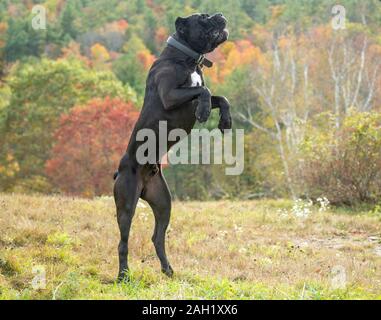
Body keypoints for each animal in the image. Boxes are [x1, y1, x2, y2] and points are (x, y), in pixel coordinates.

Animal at [113, 13, 232, 282]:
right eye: (204, 18)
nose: (220, 15)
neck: (187, 59)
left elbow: (220, 97)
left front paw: (225, 120)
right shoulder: (171, 95)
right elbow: (203, 90)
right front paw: (204, 111)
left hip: (163, 203)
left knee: (157, 237)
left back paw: (167, 270)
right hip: (126, 205)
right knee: (123, 242)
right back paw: (123, 275)